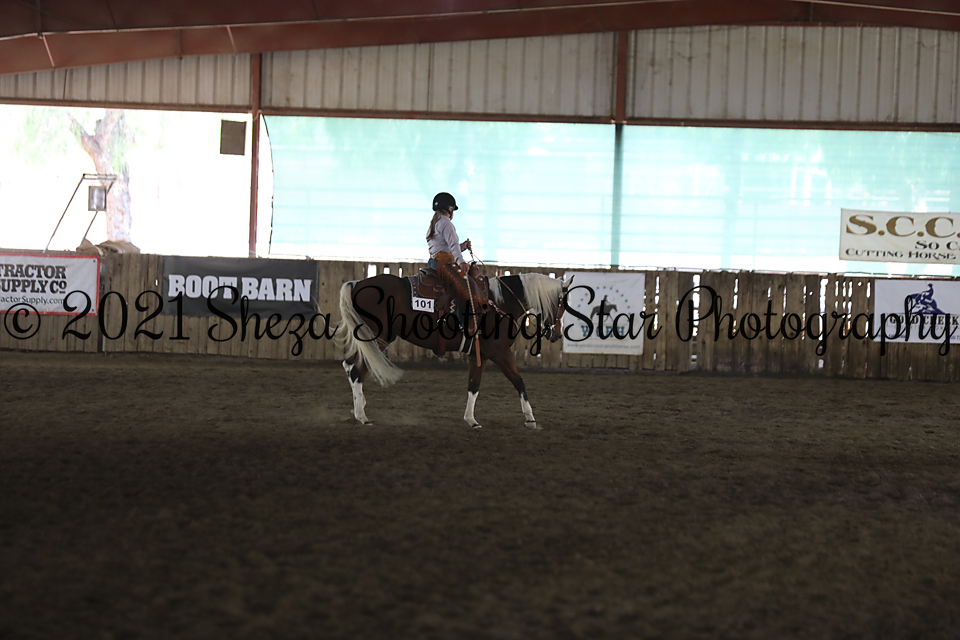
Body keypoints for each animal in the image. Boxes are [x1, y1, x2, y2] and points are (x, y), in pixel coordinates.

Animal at [337, 269, 572, 429]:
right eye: (561, 305)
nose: (557, 335)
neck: (499, 305)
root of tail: (356, 284)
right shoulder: (499, 353)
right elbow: (514, 382)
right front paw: (529, 418)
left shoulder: (480, 356)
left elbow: (478, 385)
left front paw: (472, 419)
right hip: (377, 338)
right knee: (357, 370)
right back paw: (362, 416)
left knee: (350, 365)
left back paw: (358, 407)